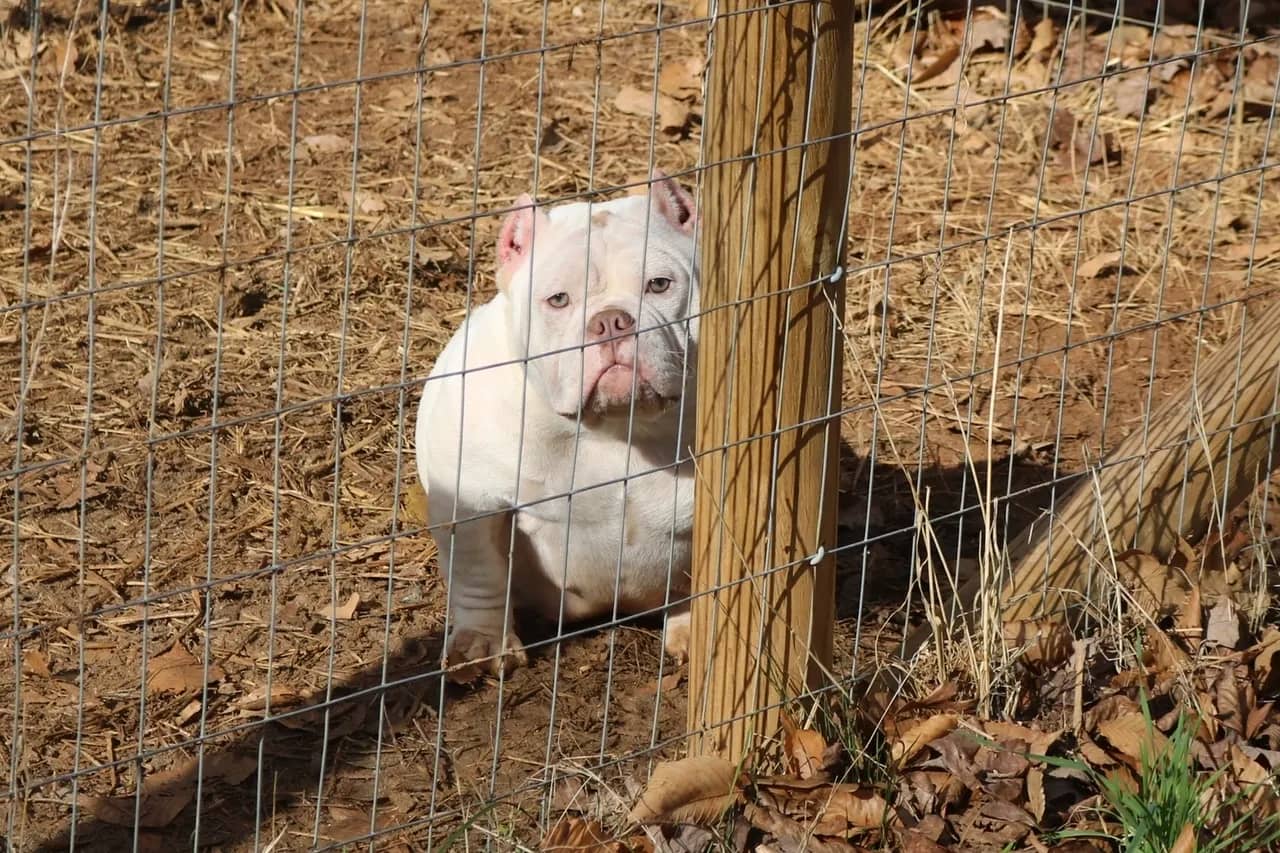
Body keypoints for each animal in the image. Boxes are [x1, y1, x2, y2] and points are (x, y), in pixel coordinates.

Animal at [417, 171, 701, 676]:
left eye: (660, 285)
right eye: (558, 300)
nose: (611, 321)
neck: (613, 427)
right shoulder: (472, 497)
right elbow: (479, 572)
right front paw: (482, 644)